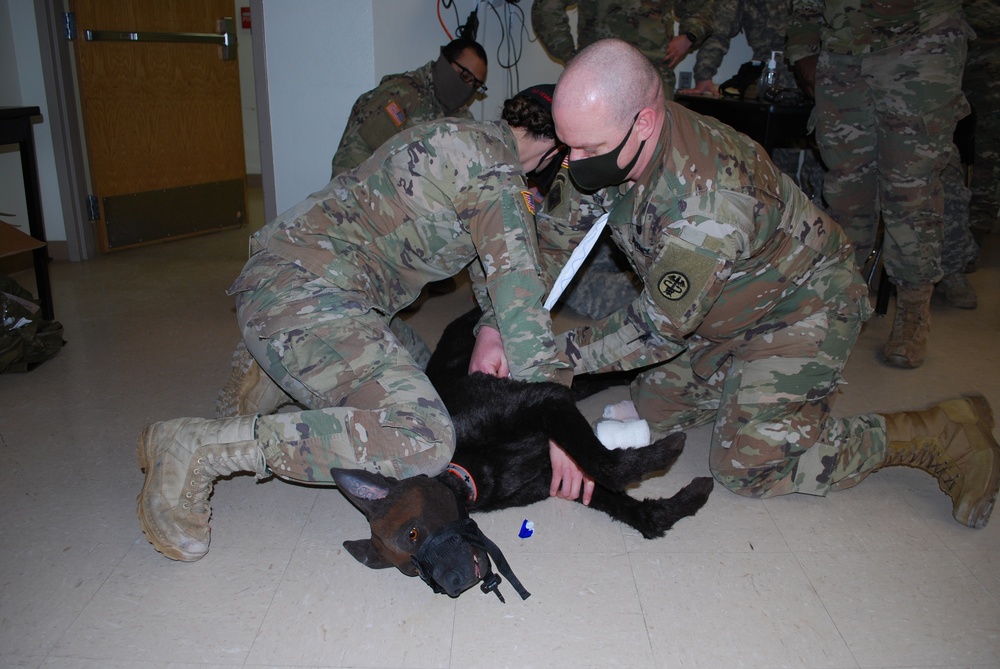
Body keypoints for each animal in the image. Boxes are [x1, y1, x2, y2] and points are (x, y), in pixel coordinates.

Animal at [332, 308, 716, 600]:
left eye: (412, 533)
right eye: (415, 570)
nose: (453, 585)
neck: (469, 472)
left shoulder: (544, 402)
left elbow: (605, 463)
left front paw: (667, 450)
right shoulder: (561, 478)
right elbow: (641, 514)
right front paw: (687, 499)